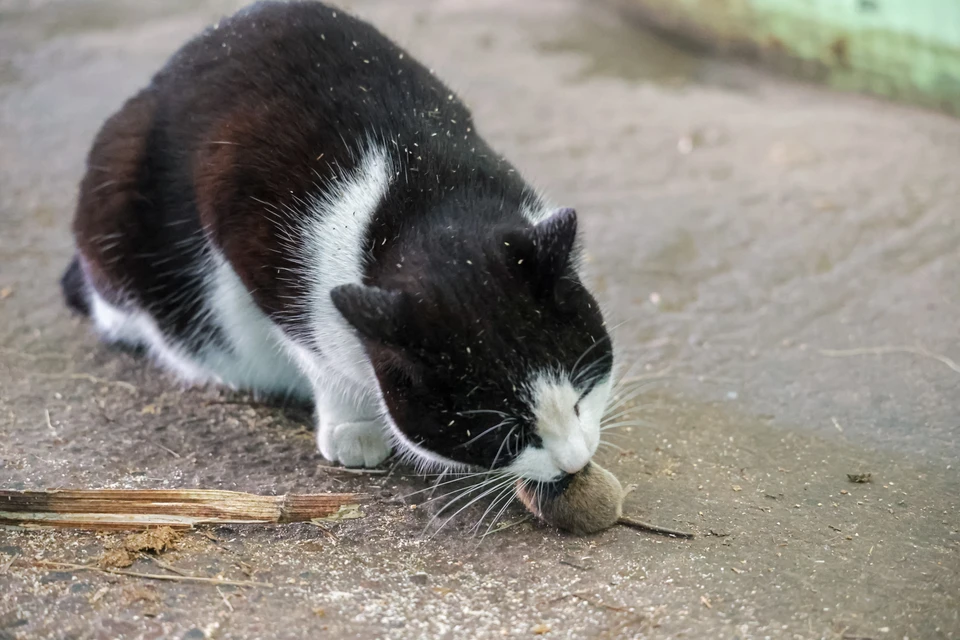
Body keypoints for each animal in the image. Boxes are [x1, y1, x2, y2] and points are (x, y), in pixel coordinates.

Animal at [62, 0, 616, 480]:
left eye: (580, 396)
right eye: (507, 434)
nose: (574, 462)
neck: (421, 205)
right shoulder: (251, 232)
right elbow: (314, 349)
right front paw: (354, 426)